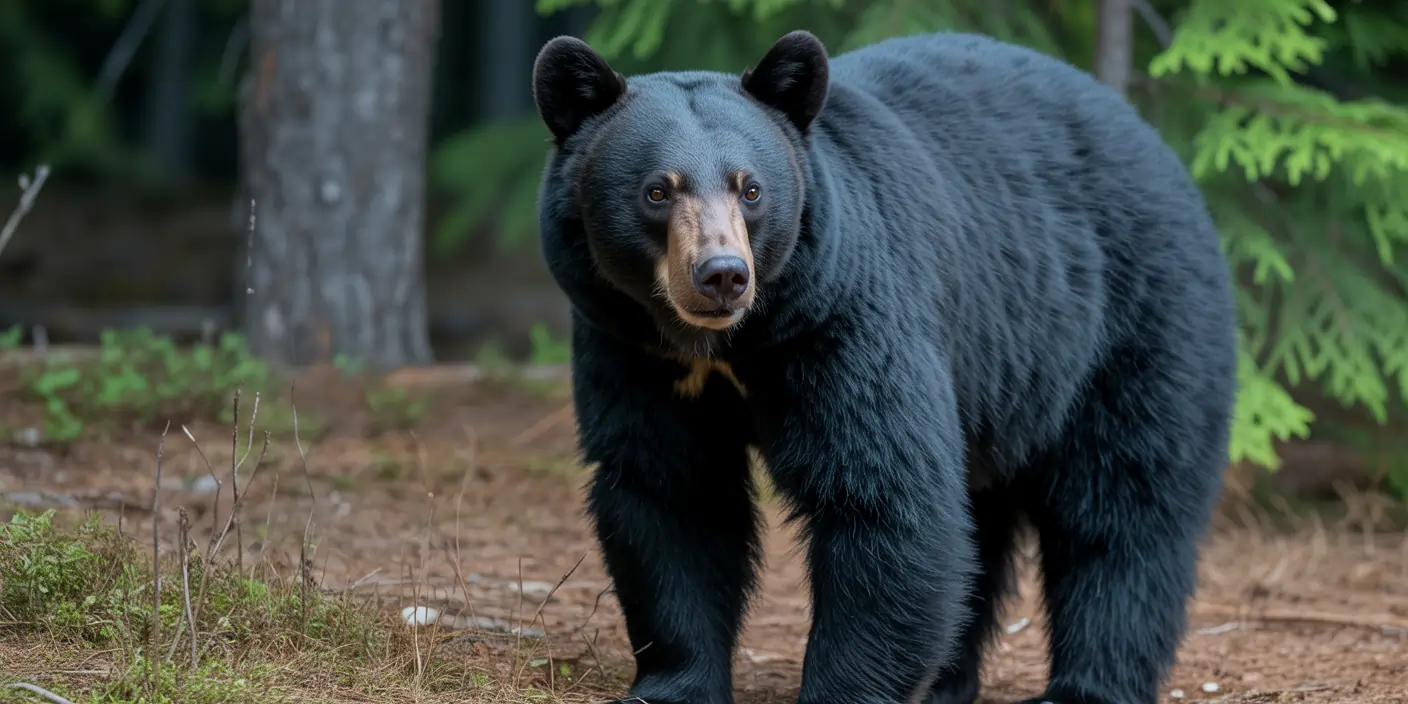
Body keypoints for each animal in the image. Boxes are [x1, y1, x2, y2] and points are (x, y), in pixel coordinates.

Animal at [530, 27, 1237, 704]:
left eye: (751, 189)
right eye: (657, 190)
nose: (722, 275)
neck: (728, 346)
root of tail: (1154, 142)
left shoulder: (846, 317)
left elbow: (884, 494)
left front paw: (840, 689)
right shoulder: (632, 351)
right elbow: (670, 492)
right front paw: (669, 685)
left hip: (1130, 318)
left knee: (1123, 501)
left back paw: (1083, 685)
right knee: (983, 521)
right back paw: (947, 682)